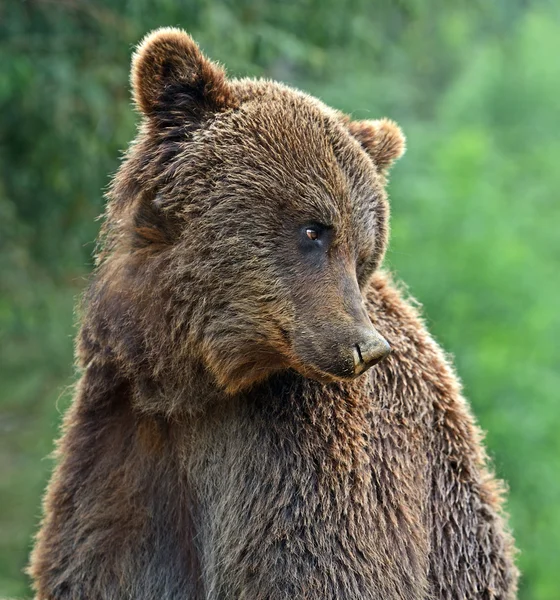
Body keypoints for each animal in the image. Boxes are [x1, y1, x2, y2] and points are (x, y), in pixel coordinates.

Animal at [29, 27, 520, 600]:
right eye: (314, 229)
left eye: (364, 254)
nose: (368, 348)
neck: (193, 387)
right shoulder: (126, 447)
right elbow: (102, 554)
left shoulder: (300, 461)